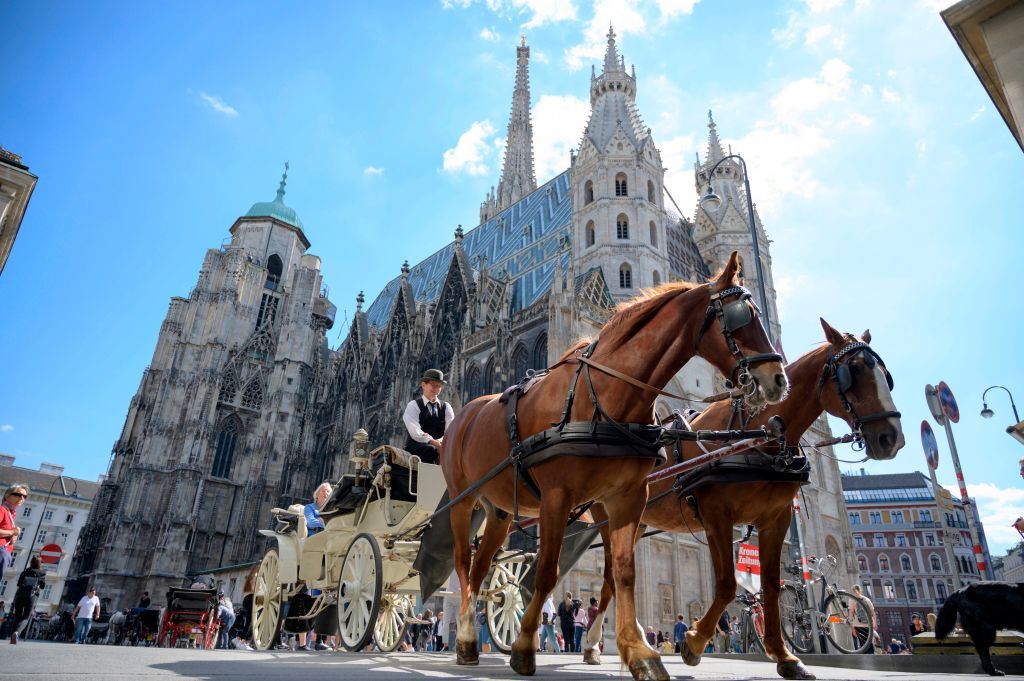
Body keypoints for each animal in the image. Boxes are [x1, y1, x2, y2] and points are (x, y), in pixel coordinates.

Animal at [444, 251, 786, 675]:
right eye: (741, 315)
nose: (778, 379)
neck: (606, 395)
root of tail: (465, 412)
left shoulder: (626, 500)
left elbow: (623, 572)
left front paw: (641, 653)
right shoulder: (557, 497)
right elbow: (546, 571)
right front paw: (525, 647)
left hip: (500, 509)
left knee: (480, 567)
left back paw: (470, 640)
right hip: (462, 499)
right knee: (463, 561)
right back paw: (466, 638)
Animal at [585, 319, 905, 679]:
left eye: (886, 375)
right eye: (853, 371)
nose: (892, 437)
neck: (760, 434)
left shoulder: (775, 519)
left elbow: (771, 586)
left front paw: (785, 655)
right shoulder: (716, 515)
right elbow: (726, 584)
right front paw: (693, 641)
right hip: (605, 516)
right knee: (609, 576)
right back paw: (604, 644)